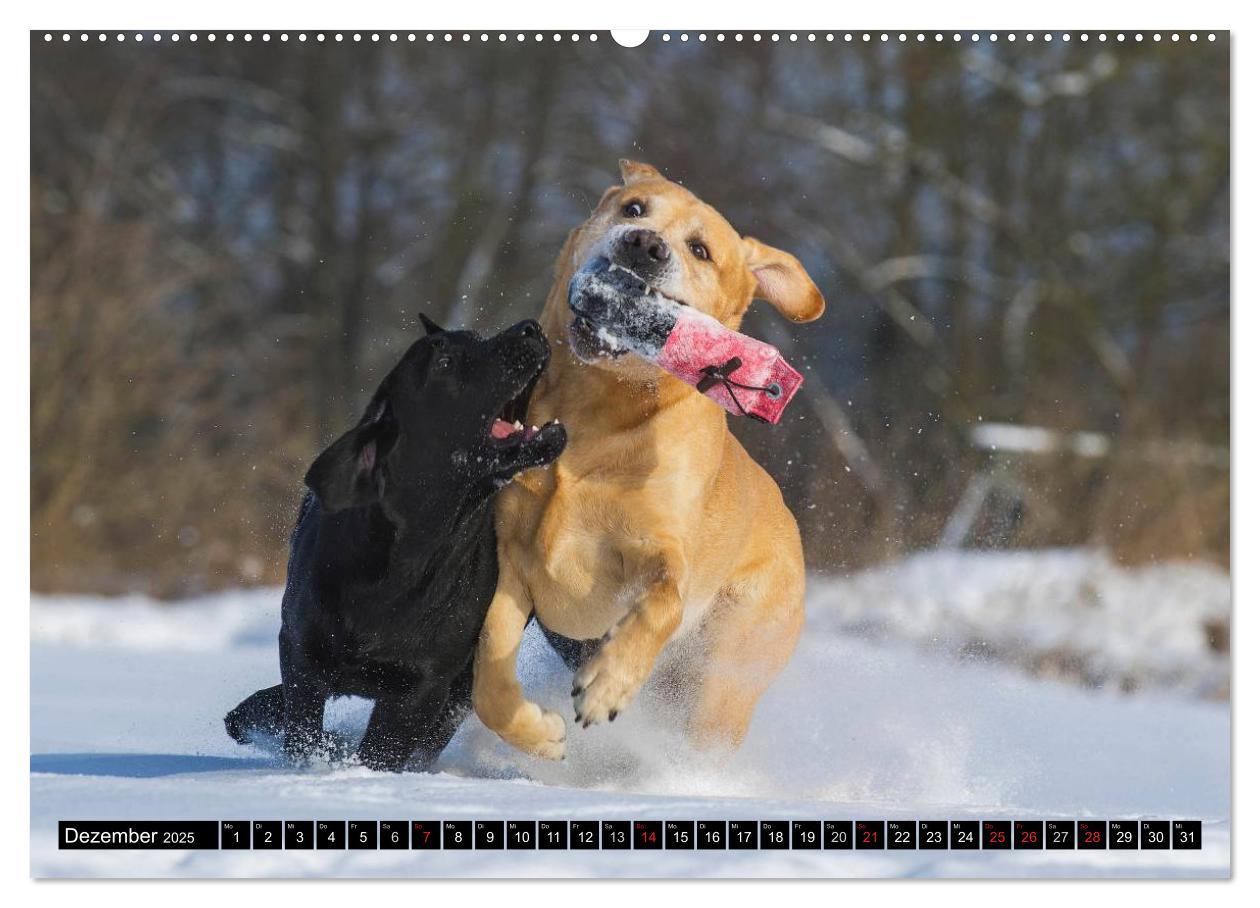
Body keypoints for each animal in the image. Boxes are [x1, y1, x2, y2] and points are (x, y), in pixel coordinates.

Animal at [223, 314, 567, 770]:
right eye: (445, 361)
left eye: (475, 338)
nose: (530, 327)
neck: (398, 569)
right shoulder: (300, 654)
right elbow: (300, 735)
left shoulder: (424, 687)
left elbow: (380, 754)